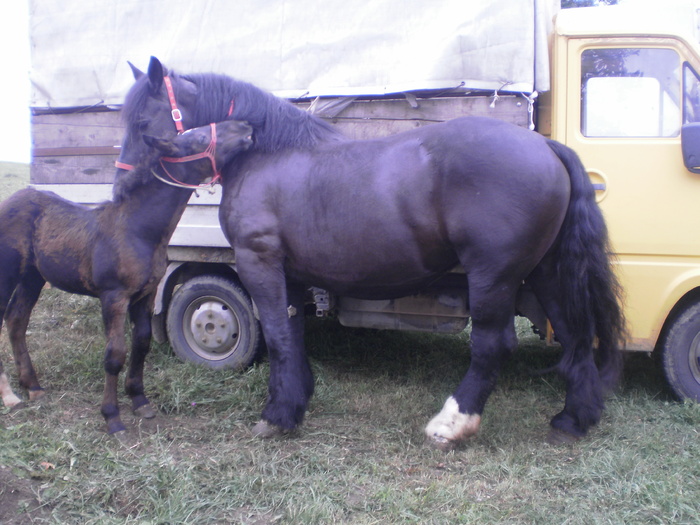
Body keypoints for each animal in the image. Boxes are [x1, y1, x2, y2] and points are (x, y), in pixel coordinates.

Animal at [0, 119, 252, 434]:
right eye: (200, 137)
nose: (245, 126)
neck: (137, 229)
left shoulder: (145, 294)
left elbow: (141, 343)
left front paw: (140, 401)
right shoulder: (114, 296)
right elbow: (115, 354)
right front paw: (112, 417)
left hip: (32, 277)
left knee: (17, 319)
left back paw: (32, 386)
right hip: (9, 272)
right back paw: (9, 394)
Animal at [117, 57, 628, 446]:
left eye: (142, 122)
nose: (121, 188)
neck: (267, 152)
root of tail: (547, 147)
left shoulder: (258, 262)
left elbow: (279, 336)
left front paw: (276, 416)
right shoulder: (289, 273)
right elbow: (292, 334)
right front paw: (295, 403)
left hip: (495, 277)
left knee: (492, 345)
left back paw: (451, 424)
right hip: (547, 273)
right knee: (577, 337)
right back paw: (572, 420)